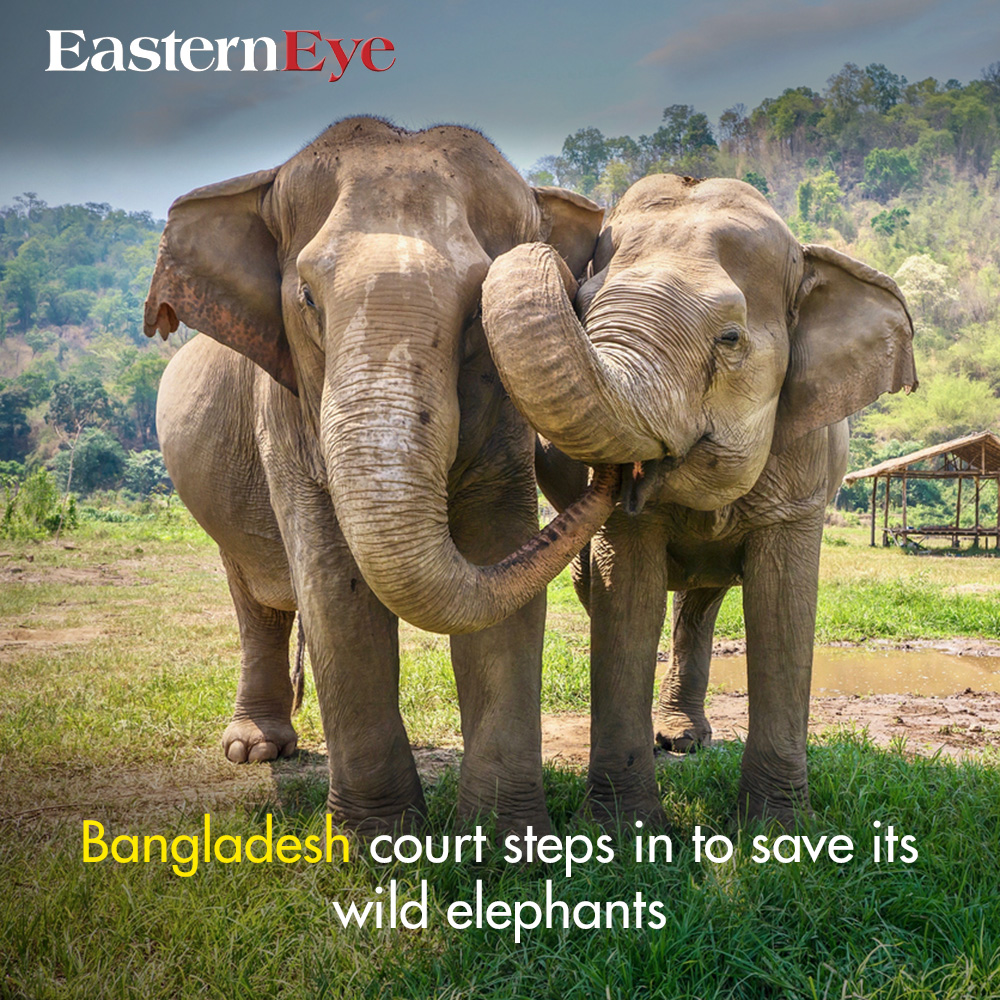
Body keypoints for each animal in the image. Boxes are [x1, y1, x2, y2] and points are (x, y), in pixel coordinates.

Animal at [144, 117, 619, 835]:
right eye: (307, 298)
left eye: (476, 311)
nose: (621, 473)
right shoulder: (285, 412)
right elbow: (336, 593)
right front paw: (377, 840)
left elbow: (499, 560)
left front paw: (504, 839)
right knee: (257, 598)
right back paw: (255, 750)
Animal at [482, 173, 916, 826]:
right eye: (582, 309)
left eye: (730, 337)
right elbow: (626, 597)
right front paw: (621, 832)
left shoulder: (805, 465)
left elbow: (784, 607)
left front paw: (777, 833)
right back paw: (669, 740)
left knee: (702, 602)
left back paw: (685, 740)